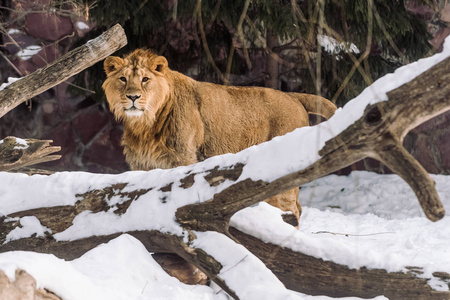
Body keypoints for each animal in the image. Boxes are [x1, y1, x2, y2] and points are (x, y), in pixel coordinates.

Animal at [102, 48, 334, 227]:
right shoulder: (142, 165)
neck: (145, 125)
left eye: (145, 79)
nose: (133, 97)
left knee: (290, 210)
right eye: (123, 79)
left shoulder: (183, 159)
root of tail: (293, 96)